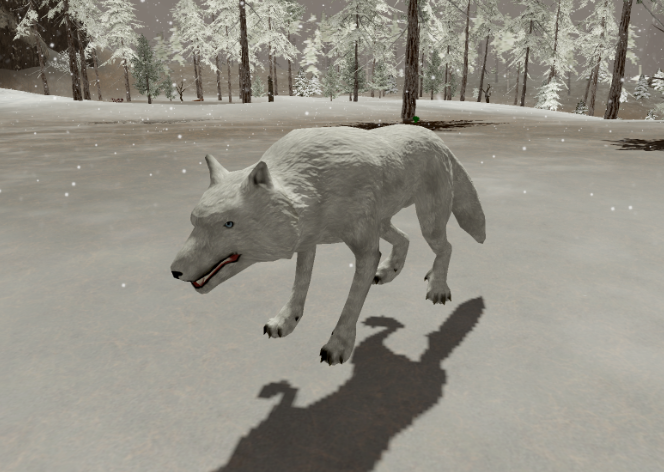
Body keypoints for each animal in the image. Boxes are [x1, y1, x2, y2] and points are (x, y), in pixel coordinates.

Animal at [170, 124, 486, 366]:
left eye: (228, 224)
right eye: (194, 222)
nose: (174, 271)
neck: (313, 184)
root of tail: (436, 138)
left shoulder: (365, 249)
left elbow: (351, 304)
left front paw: (339, 345)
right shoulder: (308, 241)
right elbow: (299, 287)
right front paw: (286, 321)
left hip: (429, 223)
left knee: (446, 247)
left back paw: (437, 286)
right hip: (385, 223)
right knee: (405, 239)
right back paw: (389, 272)